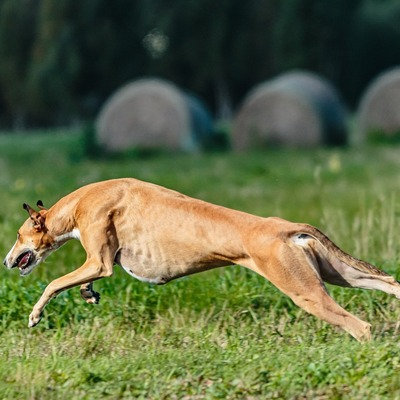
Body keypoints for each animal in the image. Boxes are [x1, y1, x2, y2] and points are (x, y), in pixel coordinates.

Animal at [3, 178, 400, 340]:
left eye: (19, 236)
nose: (7, 261)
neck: (79, 202)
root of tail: (288, 228)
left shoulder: (98, 260)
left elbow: (54, 283)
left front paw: (35, 315)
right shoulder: (99, 263)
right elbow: (82, 281)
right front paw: (88, 293)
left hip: (306, 292)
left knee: (359, 326)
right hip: (340, 274)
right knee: (391, 282)